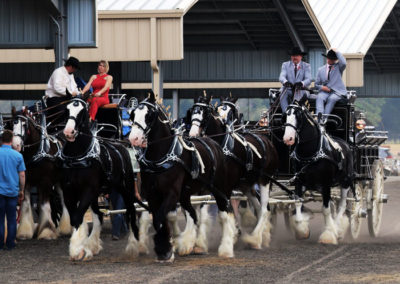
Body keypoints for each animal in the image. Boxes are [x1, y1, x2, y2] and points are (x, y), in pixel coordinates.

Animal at [11, 108, 70, 240]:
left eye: (24, 125)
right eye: (12, 124)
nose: (15, 145)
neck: (37, 152)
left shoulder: (45, 181)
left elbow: (44, 205)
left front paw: (46, 232)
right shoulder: (26, 181)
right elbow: (26, 205)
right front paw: (24, 232)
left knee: (65, 201)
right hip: (57, 181)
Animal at [60, 98, 140, 262]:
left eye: (82, 112)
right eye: (66, 109)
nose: (69, 132)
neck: (78, 158)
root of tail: (121, 146)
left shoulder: (88, 190)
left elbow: (78, 216)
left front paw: (77, 250)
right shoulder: (69, 191)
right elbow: (75, 217)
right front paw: (82, 248)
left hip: (127, 187)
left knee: (131, 211)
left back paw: (133, 245)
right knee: (99, 216)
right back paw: (92, 245)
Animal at [127, 93, 234, 262]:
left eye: (149, 115)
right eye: (133, 114)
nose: (134, 138)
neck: (162, 157)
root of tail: (214, 143)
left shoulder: (171, 194)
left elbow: (159, 218)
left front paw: (165, 250)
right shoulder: (151, 194)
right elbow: (159, 219)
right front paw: (166, 248)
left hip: (219, 188)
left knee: (225, 212)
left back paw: (226, 248)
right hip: (185, 194)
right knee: (193, 214)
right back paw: (189, 244)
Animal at [187, 93, 278, 248]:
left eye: (205, 113)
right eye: (192, 111)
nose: (192, 134)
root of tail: (268, 141)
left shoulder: (226, 187)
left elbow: (226, 211)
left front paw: (230, 236)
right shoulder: (212, 185)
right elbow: (205, 211)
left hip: (264, 179)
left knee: (265, 209)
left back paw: (255, 238)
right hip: (246, 184)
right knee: (258, 207)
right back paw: (263, 235)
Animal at [282, 98, 354, 243]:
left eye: (298, 115)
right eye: (285, 115)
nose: (288, 138)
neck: (311, 153)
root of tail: (345, 143)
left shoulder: (326, 183)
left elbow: (326, 210)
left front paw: (328, 235)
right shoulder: (299, 180)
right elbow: (298, 203)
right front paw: (302, 229)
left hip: (345, 182)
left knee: (341, 205)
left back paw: (338, 228)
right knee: (333, 204)